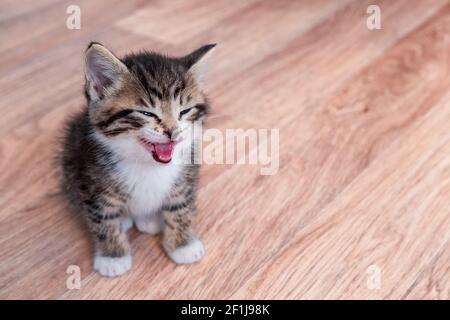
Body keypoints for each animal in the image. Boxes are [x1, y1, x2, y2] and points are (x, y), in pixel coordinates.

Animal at [60, 42, 215, 278]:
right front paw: (113, 257)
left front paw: (183, 245)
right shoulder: (89, 180)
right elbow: (103, 219)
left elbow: (181, 207)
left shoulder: (187, 174)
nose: (173, 131)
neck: (145, 163)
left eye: (184, 111)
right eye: (146, 113)